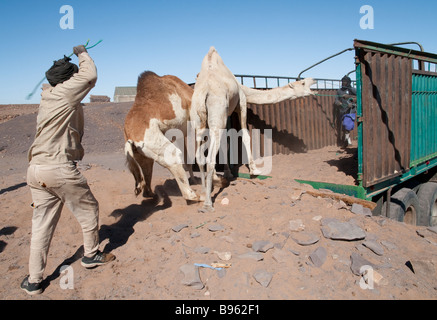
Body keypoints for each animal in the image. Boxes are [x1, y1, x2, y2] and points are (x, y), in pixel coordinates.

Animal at [189, 47, 316, 212]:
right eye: (303, 82)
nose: (314, 80)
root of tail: (204, 91)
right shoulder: (241, 103)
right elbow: (245, 134)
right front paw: (254, 170)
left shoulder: (227, 111)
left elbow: (226, 141)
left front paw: (228, 173)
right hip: (216, 111)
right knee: (210, 158)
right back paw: (208, 203)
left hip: (198, 120)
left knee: (199, 155)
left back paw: (204, 192)